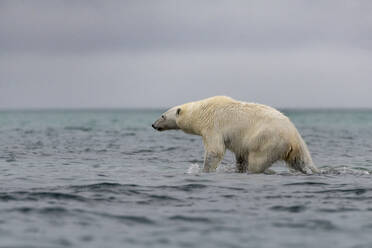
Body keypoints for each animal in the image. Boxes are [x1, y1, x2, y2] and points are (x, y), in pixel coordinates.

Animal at [152, 96, 320, 173]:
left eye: (162, 116)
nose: (153, 125)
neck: (202, 111)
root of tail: (293, 136)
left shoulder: (213, 126)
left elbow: (215, 150)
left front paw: (204, 170)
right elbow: (241, 155)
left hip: (268, 141)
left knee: (257, 161)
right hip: (296, 149)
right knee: (300, 161)